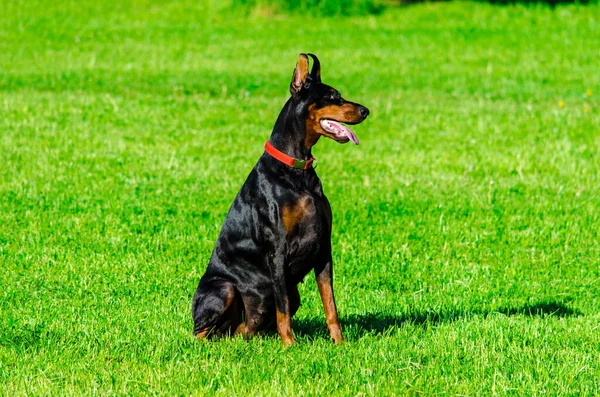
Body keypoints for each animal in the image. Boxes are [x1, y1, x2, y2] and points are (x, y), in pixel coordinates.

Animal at [192, 52, 370, 344]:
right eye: (332, 96)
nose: (366, 111)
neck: (297, 170)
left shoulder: (323, 247)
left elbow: (330, 304)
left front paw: (339, 342)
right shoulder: (277, 249)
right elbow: (282, 309)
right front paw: (290, 345)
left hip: (275, 304)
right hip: (224, 288)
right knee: (200, 332)